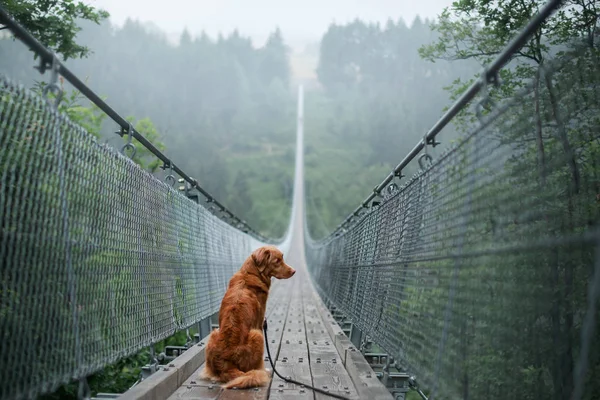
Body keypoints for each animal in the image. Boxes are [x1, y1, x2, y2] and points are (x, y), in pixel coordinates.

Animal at [202, 245, 296, 390]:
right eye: (277, 261)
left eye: (282, 258)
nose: (294, 271)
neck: (251, 274)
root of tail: (226, 366)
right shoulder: (259, 322)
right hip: (256, 334)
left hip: (214, 333)